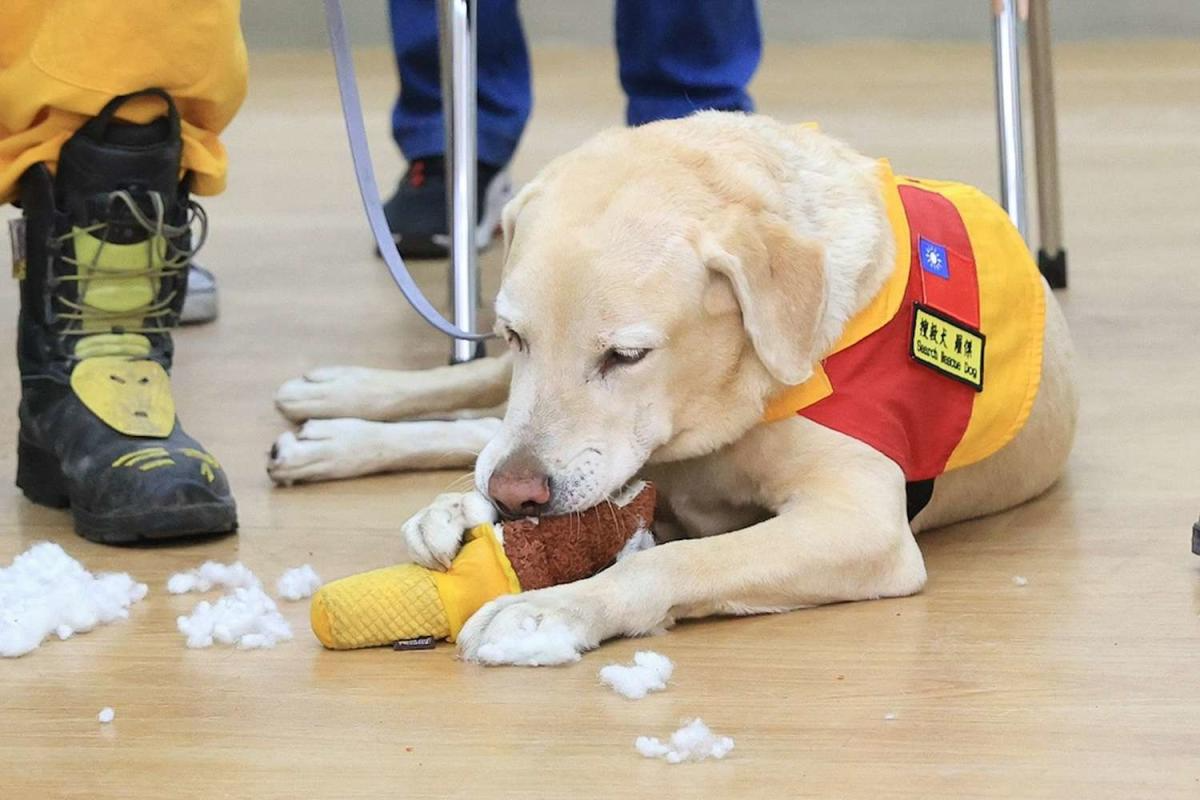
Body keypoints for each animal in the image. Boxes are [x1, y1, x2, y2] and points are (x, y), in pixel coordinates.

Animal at [272, 110, 1080, 662]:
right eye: (515, 334)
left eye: (627, 356)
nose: (515, 497)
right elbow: (506, 444)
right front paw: (458, 509)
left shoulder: (861, 525)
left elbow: (674, 557)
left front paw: (549, 611)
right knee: (473, 414)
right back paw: (337, 415)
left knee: (476, 429)